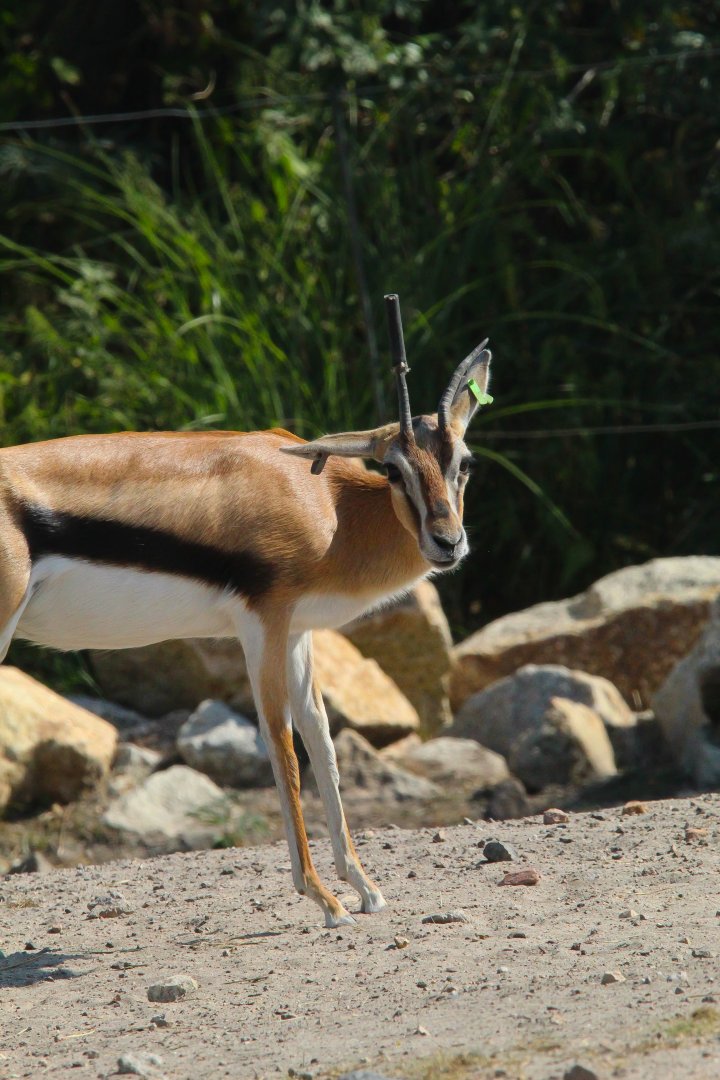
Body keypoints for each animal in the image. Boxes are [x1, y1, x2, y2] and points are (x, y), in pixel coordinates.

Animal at [0, 295, 491, 927]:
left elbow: (321, 740)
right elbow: (281, 742)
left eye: (464, 463)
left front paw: (364, 885)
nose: (447, 542)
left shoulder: (298, 631)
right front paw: (324, 898)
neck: (325, 503)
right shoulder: (264, 622)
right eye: (392, 469)